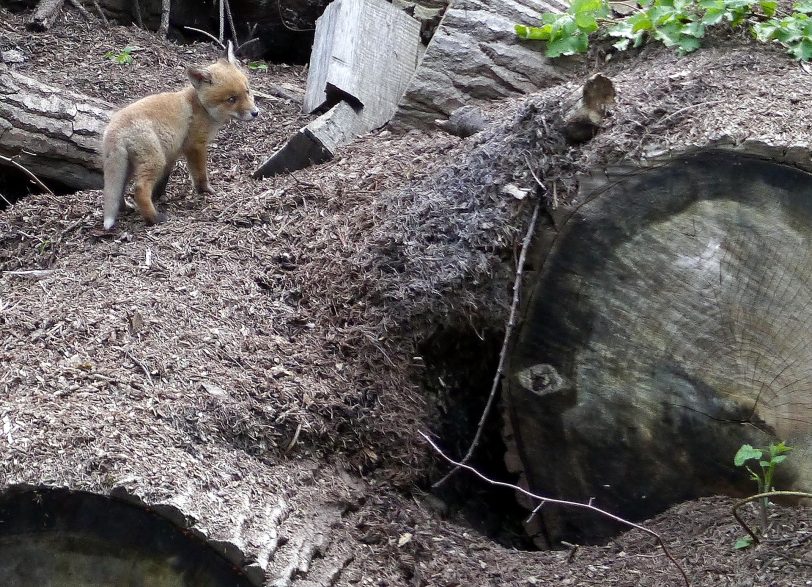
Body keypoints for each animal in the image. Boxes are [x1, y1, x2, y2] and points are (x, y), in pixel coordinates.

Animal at [101, 40, 258, 230]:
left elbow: (163, 180)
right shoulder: (195, 146)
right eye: (231, 99)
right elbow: (200, 175)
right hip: (154, 161)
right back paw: (154, 218)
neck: (200, 106)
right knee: (139, 190)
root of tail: (114, 127)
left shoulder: (173, 152)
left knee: (118, 191)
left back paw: (125, 209)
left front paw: (159, 196)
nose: (255, 113)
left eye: (247, 91)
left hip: (128, 166)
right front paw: (206, 191)